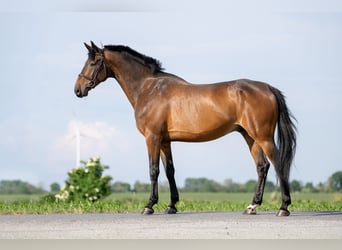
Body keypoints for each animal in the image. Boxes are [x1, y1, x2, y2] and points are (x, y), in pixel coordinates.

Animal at [74, 42, 296, 216]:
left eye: (93, 62)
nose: (78, 89)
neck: (149, 88)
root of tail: (268, 88)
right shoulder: (165, 141)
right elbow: (169, 171)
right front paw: (171, 206)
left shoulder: (152, 138)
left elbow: (153, 170)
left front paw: (149, 206)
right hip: (250, 137)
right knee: (262, 166)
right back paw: (252, 206)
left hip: (263, 137)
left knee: (278, 163)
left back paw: (283, 207)